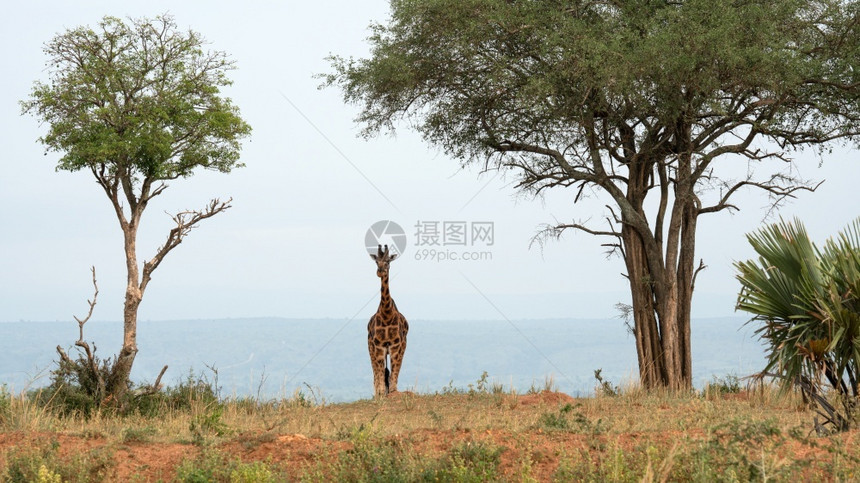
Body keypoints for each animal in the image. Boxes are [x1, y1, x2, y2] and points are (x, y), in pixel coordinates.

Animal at [366, 244, 410, 398]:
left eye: (388, 262)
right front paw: (380, 393)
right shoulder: (379, 346)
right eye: (376, 261)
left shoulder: (395, 345)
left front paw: (392, 391)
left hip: (402, 346)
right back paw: (377, 393)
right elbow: (380, 369)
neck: (386, 314)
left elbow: (394, 367)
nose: (380, 272)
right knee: (376, 369)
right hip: (370, 347)